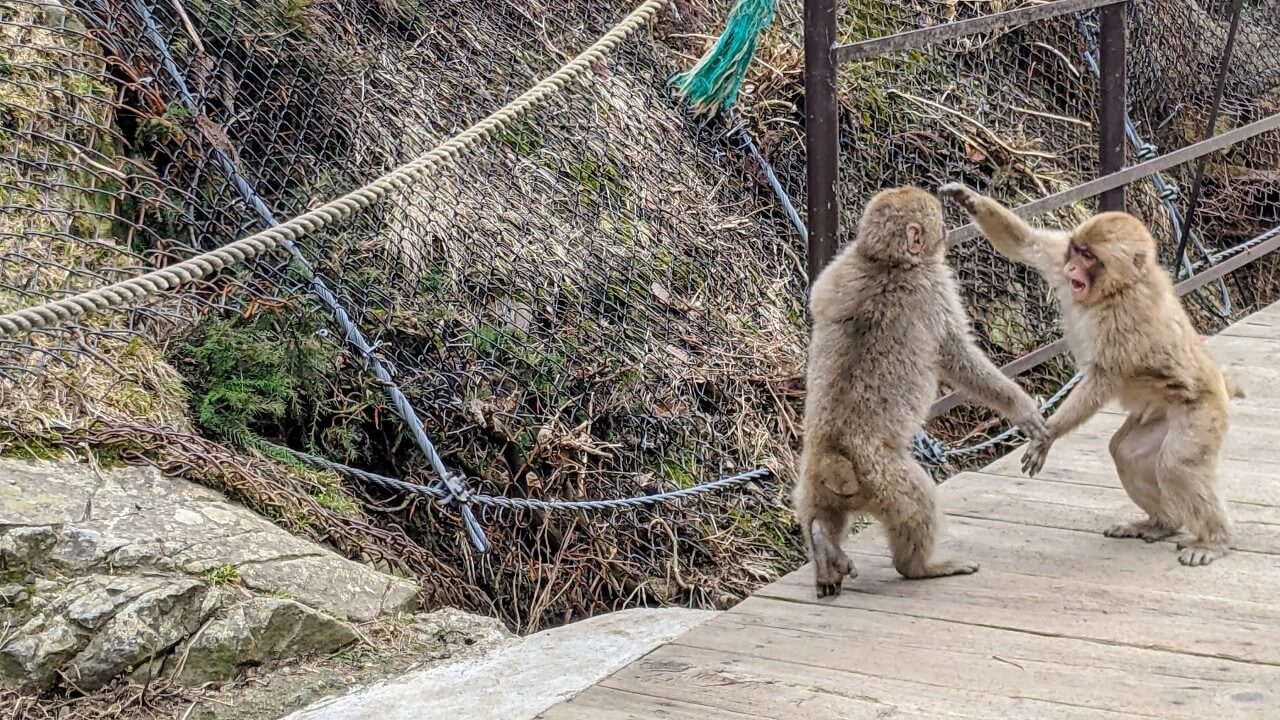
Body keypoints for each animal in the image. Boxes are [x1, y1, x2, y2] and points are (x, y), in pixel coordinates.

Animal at [798, 184, 1049, 594]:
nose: (947, 232)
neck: (885, 261)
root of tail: (836, 458)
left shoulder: (838, 267)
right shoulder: (933, 289)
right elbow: (958, 355)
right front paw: (1021, 407)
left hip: (814, 481)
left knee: (819, 513)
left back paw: (823, 545)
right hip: (886, 479)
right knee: (917, 504)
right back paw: (921, 567)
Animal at [942, 181, 1239, 563]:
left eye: (1090, 258)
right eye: (1077, 251)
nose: (1072, 272)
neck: (1112, 291)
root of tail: (1220, 385)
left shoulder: (1127, 318)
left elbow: (1102, 379)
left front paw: (1048, 434)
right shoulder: (1058, 256)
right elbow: (1027, 244)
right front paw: (969, 199)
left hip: (1202, 413)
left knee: (1177, 464)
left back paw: (1214, 540)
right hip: (1159, 413)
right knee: (1126, 453)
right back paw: (1162, 524)